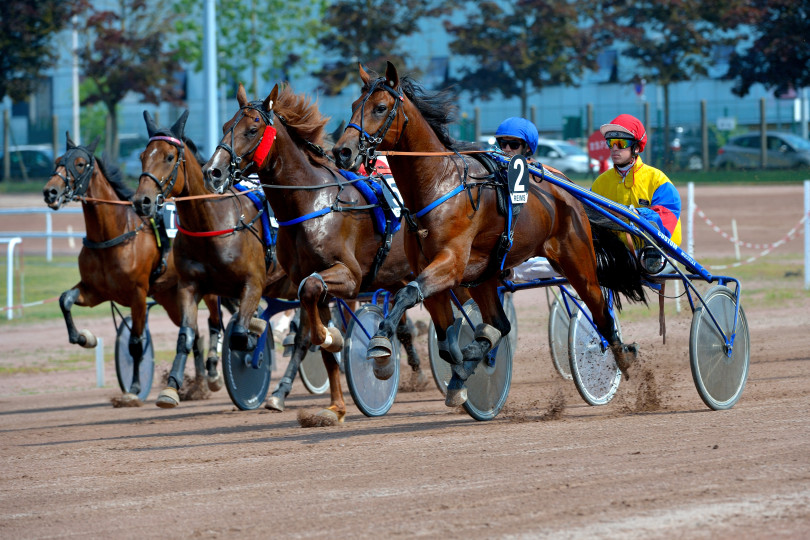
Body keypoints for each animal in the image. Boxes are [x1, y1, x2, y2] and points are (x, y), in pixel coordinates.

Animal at [42, 134, 221, 404]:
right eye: (57, 161)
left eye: (81, 163)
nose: (50, 191)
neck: (114, 235)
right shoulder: (95, 291)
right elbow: (65, 300)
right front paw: (85, 337)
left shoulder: (137, 295)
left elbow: (136, 343)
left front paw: (134, 388)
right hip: (169, 296)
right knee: (195, 333)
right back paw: (197, 386)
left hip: (207, 289)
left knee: (214, 321)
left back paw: (212, 376)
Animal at [129, 110, 306, 410]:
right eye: (142, 155)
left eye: (169, 157)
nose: (142, 201)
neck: (211, 223)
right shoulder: (189, 286)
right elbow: (186, 336)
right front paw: (171, 388)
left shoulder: (253, 284)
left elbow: (240, 335)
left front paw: (254, 341)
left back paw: (281, 390)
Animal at [201, 83, 430, 422]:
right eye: (226, 126)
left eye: (252, 129)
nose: (213, 172)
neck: (310, 205)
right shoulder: (311, 283)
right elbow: (319, 332)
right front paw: (335, 407)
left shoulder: (349, 277)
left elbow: (313, 305)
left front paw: (334, 340)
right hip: (396, 276)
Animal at [328, 62, 644, 410]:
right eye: (354, 105)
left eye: (380, 108)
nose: (342, 151)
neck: (437, 184)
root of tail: (567, 188)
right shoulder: (432, 270)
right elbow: (444, 339)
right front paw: (460, 366)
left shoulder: (450, 264)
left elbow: (408, 295)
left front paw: (381, 344)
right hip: (485, 275)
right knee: (500, 323)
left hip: (576, 261)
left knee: (599, 309)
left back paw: (621, 354)